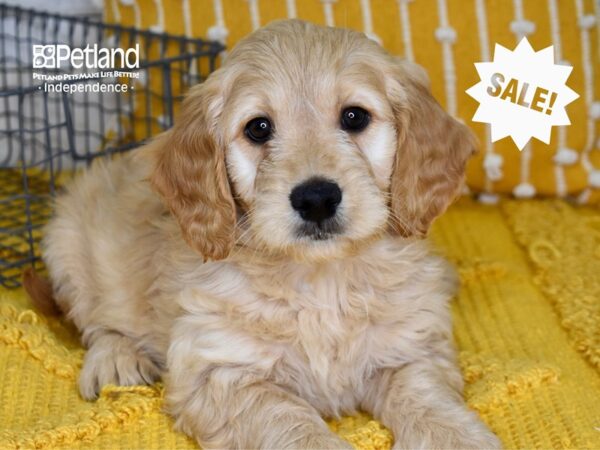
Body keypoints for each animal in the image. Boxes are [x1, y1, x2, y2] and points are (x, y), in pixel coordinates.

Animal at [31, 19, 502, 448]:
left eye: (354, 117)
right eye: (258, 128)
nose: (317, 199)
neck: (321, 282)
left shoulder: (411, 349)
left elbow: (426, 397)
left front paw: (458, 438)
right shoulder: (220, 370)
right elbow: (287, 417)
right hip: (67, 242)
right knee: (95, 323)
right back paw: (116, 358)